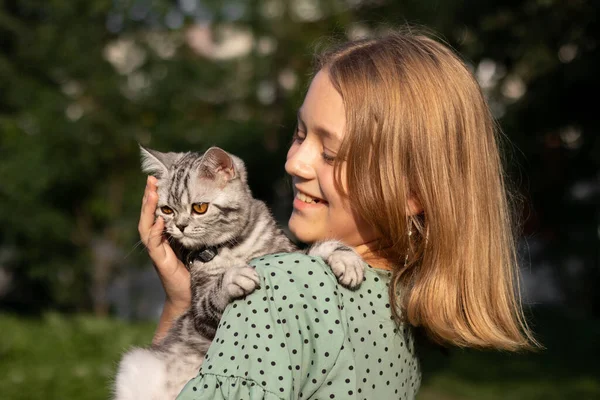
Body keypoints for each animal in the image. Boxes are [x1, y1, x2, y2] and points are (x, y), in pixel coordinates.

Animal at [113, 146, 366, 400]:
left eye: (199, 208)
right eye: (167, 210)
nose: (180, 226)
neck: (230, 249)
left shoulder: (286, 250)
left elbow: (312, 250)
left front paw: (344, 257)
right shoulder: (199, 312)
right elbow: (209, 302)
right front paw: (232, 279)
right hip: (134, 363)